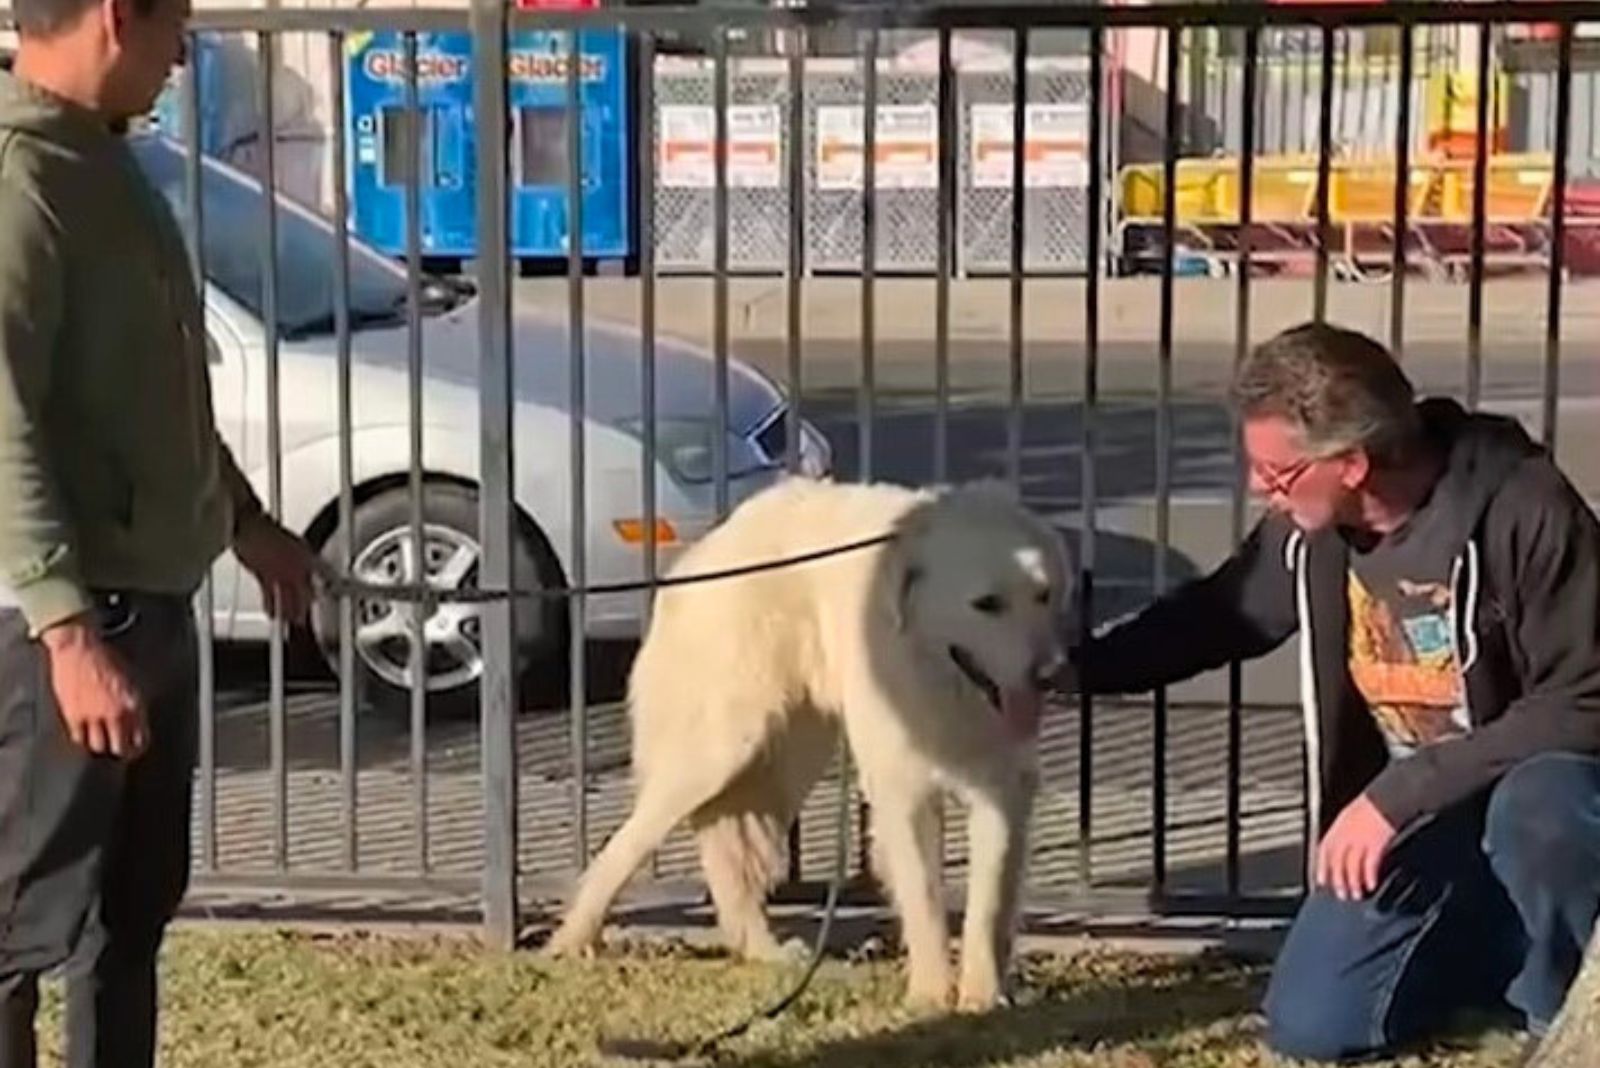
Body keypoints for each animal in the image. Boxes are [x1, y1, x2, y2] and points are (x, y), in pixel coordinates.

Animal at [540, 476, 1075, 1010]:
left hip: (786, 760)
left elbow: (989, 905)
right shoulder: (903, 793)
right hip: (720, 749)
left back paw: (763, 951)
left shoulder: (1001, 791)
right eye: (987, 604)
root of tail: (716, 541)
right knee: (628, 842)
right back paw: (572, 938)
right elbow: (923, 897)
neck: (942, 680)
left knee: (728, 852)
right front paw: (929, 996)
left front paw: (982, 999)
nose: (1052, 674)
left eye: (1043, 595)